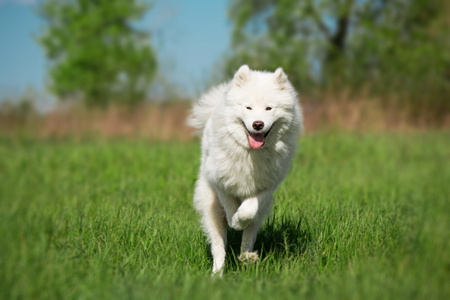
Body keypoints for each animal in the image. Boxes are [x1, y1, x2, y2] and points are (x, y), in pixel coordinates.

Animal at [188, 65, 304, 274]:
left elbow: (248, 211)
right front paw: (234, 222)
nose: (258, 124)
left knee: (248, 238)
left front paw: (240, 221)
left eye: (269, 108)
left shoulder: (265, 188)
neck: (251, 154)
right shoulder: (220, 183)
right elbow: (230, 209)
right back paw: (217, 274)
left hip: (259, 215)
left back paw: (247, 258)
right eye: (248, 108)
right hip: (211, 208)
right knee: (218, 247)